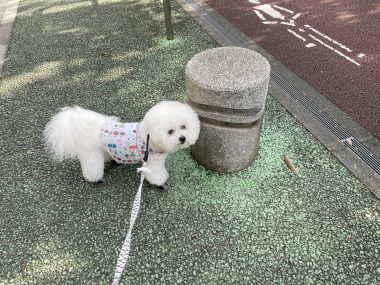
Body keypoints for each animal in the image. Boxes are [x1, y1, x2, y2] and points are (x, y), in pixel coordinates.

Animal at [43, 101, 200, 187]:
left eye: (183, 126)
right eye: (170, 131)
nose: (182, 138)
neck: (149, 136)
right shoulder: (153, 162)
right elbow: (157, 174)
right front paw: (160, 183)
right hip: (91, 154)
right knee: (92, 168)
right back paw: (95, 179)